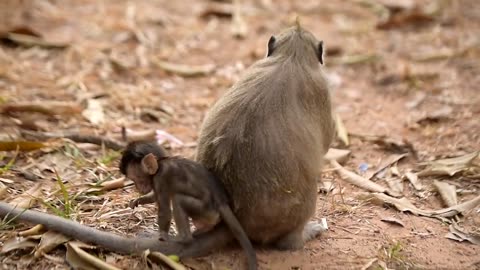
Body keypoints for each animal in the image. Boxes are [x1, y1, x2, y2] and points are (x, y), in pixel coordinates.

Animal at [119, 141, 256, 270]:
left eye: (137, 179)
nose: (138, 188)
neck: (161, 163)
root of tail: (221, 201)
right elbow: (154, 197)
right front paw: (138, 200)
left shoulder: (161, 178)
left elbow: (164, 211)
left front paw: (160, 236)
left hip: (205, 210)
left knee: (178, 200)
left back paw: (183, 238)